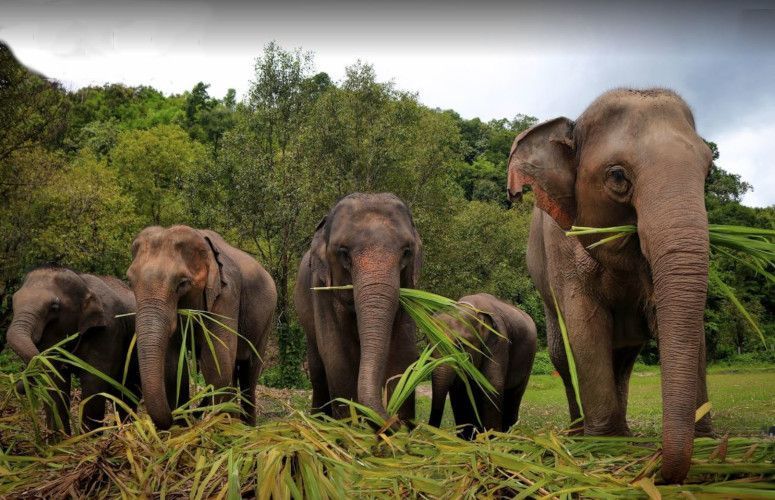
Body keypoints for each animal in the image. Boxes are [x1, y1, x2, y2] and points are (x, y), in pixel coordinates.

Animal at [6, 266, 140, 433]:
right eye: (13, 301)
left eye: (54, 307)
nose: (18, 383)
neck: (84, 283)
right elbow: (55, 381)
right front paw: (60, 438)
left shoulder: (109, 329)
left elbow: (93, 381)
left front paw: (88, 438)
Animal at [126, 225, 276, 429]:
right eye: (129, 282)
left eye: (182, 283)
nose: (176, 416)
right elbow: (173, 364)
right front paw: (181, 428)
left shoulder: (226, 296)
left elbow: (217, 363)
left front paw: (217, 427)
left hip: (266, 320)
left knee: (248, 372)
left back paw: (247, 428)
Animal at [294, 193, 422, 424]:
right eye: (344, 253)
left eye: (406, 252)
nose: (393, 421)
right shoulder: (321, 289)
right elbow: (337, 354)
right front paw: (351, 425)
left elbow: (404, 351)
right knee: (317, 370)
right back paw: (318, 420)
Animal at [429, 293, 537, 439]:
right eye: (429, 346)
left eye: (461, 345)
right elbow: (459, 391)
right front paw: (466, 440)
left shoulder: (498, 341)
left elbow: (492, 385)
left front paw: (492, 439)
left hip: (529, 360)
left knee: (514, 395)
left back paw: (510, 434)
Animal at [506, 88, 714, 483]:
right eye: (618, 176)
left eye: (708, 170)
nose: (660, 473)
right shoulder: (562, 245)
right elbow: (585, 328)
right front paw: (604, 446)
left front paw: (708, 441)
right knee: (562, 352)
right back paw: (579, 433)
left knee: (624, 358)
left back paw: (624, 432)